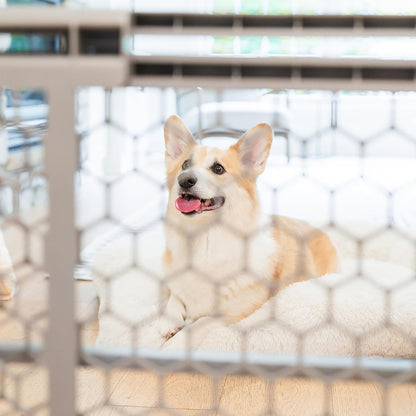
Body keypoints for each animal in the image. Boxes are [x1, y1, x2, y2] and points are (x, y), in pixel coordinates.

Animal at [158, 115, 338, 340]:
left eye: (218, 169)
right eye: (185, 164)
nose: (185, 180)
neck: (205, 237)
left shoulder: (230, 314)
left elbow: (197, 325)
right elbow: (174, 300)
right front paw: (167, 323)